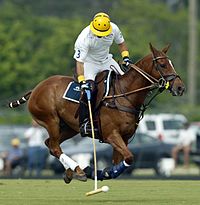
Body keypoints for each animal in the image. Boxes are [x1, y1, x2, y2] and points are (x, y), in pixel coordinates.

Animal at [9, 44, 184, 182]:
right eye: (162, 64)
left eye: (171, 63)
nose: (180, 87)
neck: (125, 95)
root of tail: (35, 89)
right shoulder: (111, 135)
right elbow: (129, 158)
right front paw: (92, 171)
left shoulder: (125, 138)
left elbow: (118, 163)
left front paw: (100, 173)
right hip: (51, 120)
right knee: (54, 146)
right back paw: (78, 170)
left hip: (70, 127)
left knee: (51, 144)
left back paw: (70, 172)